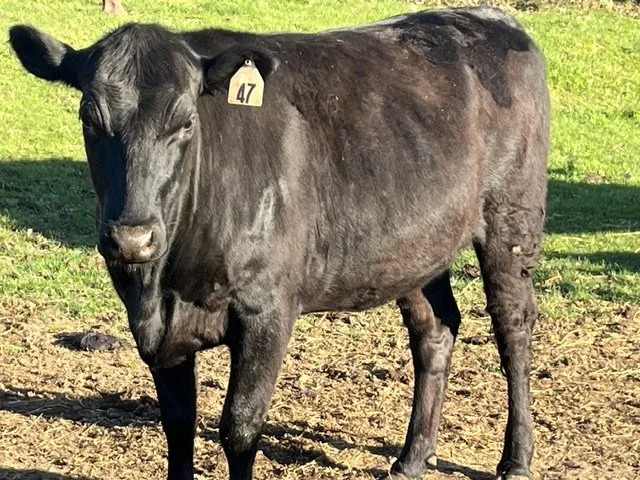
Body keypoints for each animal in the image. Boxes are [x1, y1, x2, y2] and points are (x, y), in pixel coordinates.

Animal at [9, 6, 549, 480]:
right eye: (89, 118)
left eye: (185, 122)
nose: (132, 238)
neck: (168, 283)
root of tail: (489, 16)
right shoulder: (158, 332)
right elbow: (178, 428)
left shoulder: (267, 311)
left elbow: (240, 428)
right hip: (415, 248)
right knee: (434, 329)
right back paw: (412, 458)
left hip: (512, 218)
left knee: (513, 328)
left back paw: (516, 459)